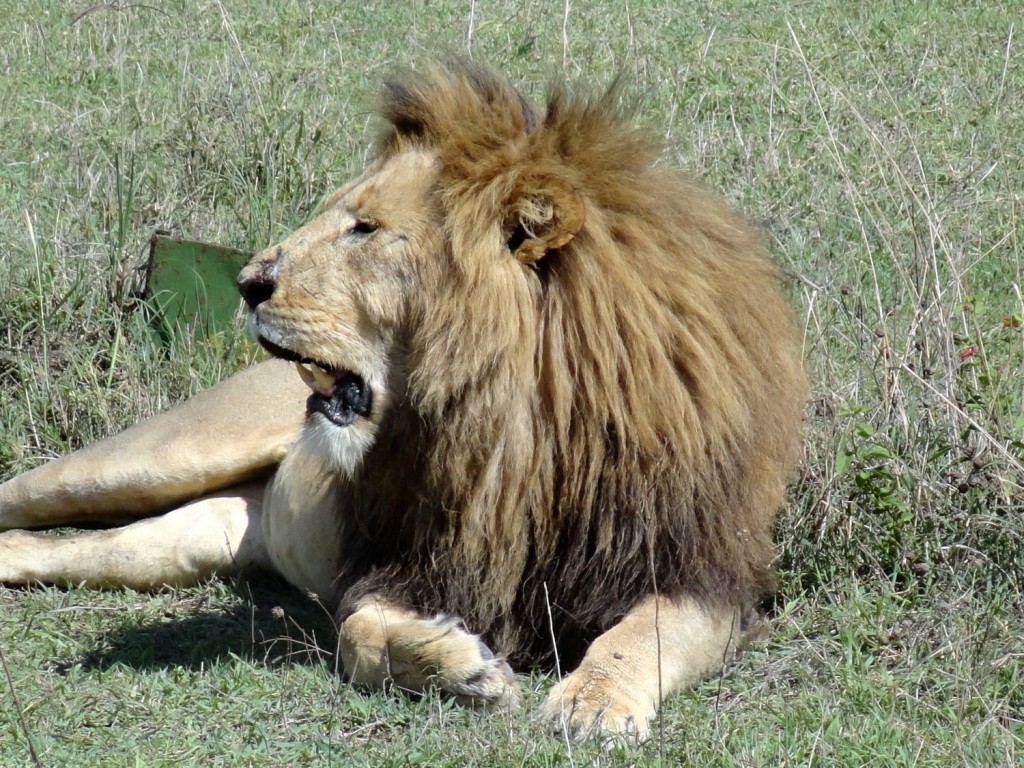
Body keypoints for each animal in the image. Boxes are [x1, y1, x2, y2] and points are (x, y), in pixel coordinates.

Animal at [0, 64, 806, 741]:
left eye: (366, 227)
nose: (249, 282)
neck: (517, 431)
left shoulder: (700, 573)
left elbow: (639, 634)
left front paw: (594, 703)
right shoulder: (407, 564)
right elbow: (359, 633)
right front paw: (460, 667)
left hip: (190, 543)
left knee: (80, 550)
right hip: (157, 458)